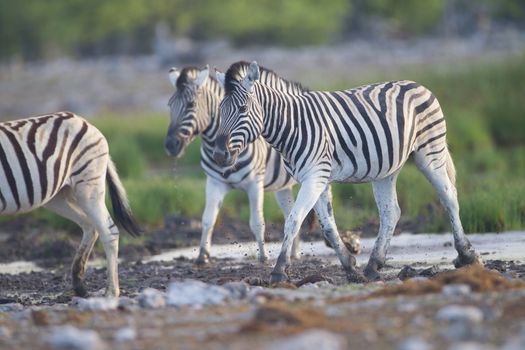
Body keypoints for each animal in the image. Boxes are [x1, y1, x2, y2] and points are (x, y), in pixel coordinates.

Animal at [0, 111, 141, 296]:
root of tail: (83, 121)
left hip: (88, 187)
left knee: (108, 231)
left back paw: (111, 291)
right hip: (59, 195)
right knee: (90, 225)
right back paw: (79, 283)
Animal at [166, 65, 342, 262]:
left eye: (191, 105)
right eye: (170, 106)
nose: (170, 145)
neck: (214, 142)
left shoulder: (254, 184)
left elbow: (257, 222)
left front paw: (264, 257)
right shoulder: (214, 182)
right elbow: (208, 219)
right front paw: (202, 256)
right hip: (283, 187)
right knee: (290, 211)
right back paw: (294, 253)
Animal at [211, 60, 482, 284]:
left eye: (243, 109)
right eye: (220, 110)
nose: (219, 155)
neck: (292, 125)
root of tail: (417, 84)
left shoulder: (315, 176)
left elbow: (293, 220)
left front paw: (279, 270)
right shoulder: (315, 178)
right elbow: (328, 226)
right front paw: (350, 266)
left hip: (430, 151)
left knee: (449, 197)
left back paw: (467, 255)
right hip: (387, 170)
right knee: (391, 212)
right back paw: (373, 265)